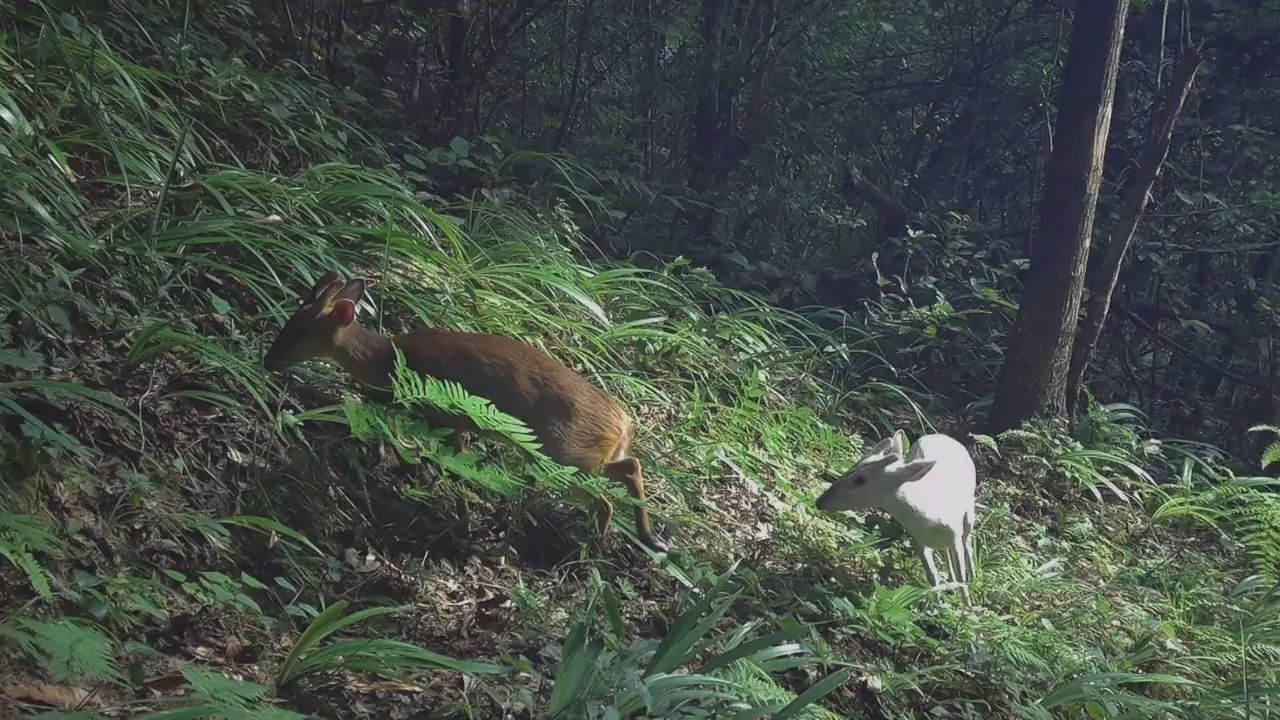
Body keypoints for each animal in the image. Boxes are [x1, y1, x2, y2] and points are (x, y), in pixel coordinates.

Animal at [266, 269, 675, 548]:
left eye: (298, 331)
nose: (269, 360)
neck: (388, 360)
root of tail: (624, 423)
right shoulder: (451, 420)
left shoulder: (442, 413)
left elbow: (452, 467)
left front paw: (461, 523)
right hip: (582, 454)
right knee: (631, 467)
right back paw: (650, 536)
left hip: (563, 451)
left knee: (606, 497)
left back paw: (596, 542)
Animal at [819, 425, 977, 599]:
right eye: (853, 466)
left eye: (860, 480)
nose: (820, 502)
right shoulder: (917, 540)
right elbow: (933, 578)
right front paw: (936, 601)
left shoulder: (955, 536)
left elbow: (962, 580)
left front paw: (967, 604)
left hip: (969, 513)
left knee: (968, 542)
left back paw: (974, 578)